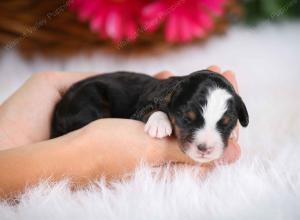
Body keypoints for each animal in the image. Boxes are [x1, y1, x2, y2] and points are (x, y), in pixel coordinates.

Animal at [51, 69, 248, 162]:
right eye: (186, 119)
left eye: (226, 123)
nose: (205, 149)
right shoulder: (142, 107)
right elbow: (153, 110)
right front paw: (159, 124)